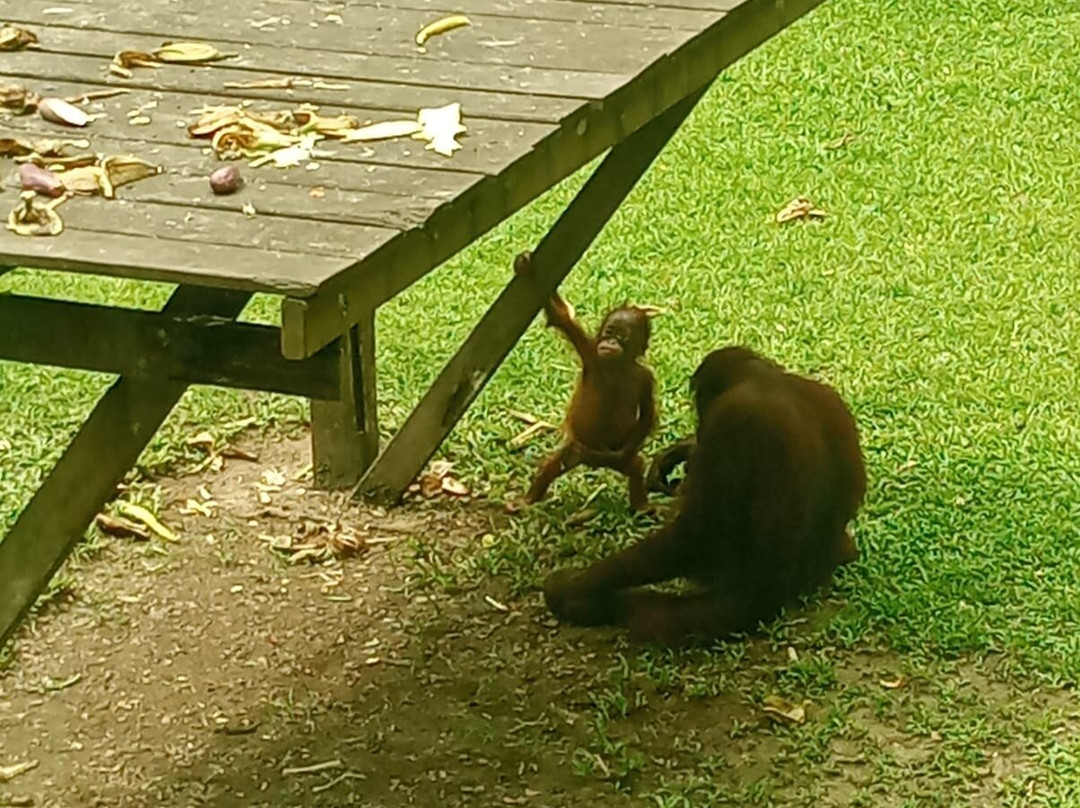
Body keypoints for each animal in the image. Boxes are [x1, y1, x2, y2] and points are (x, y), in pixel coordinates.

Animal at [512, 250, 657, 511]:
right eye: (609, 332)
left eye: (622, 337)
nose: (610, 343)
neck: (615, 366)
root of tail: (593, 461)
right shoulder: (589, 351)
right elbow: (560, 317)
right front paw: (526, 266)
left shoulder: (645, 378)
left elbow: (647, 414)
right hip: (576, 450)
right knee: (551, 465)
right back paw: (528, 499)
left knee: (635, 466)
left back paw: (641, 507)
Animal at [542, 346, 866, 646]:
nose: (699, 424)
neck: (769, 380)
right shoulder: (830, 398)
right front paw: (679, 452)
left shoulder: (732, 419)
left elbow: (696, 534)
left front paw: (575, 585)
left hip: (731, 608)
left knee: (645, 613)